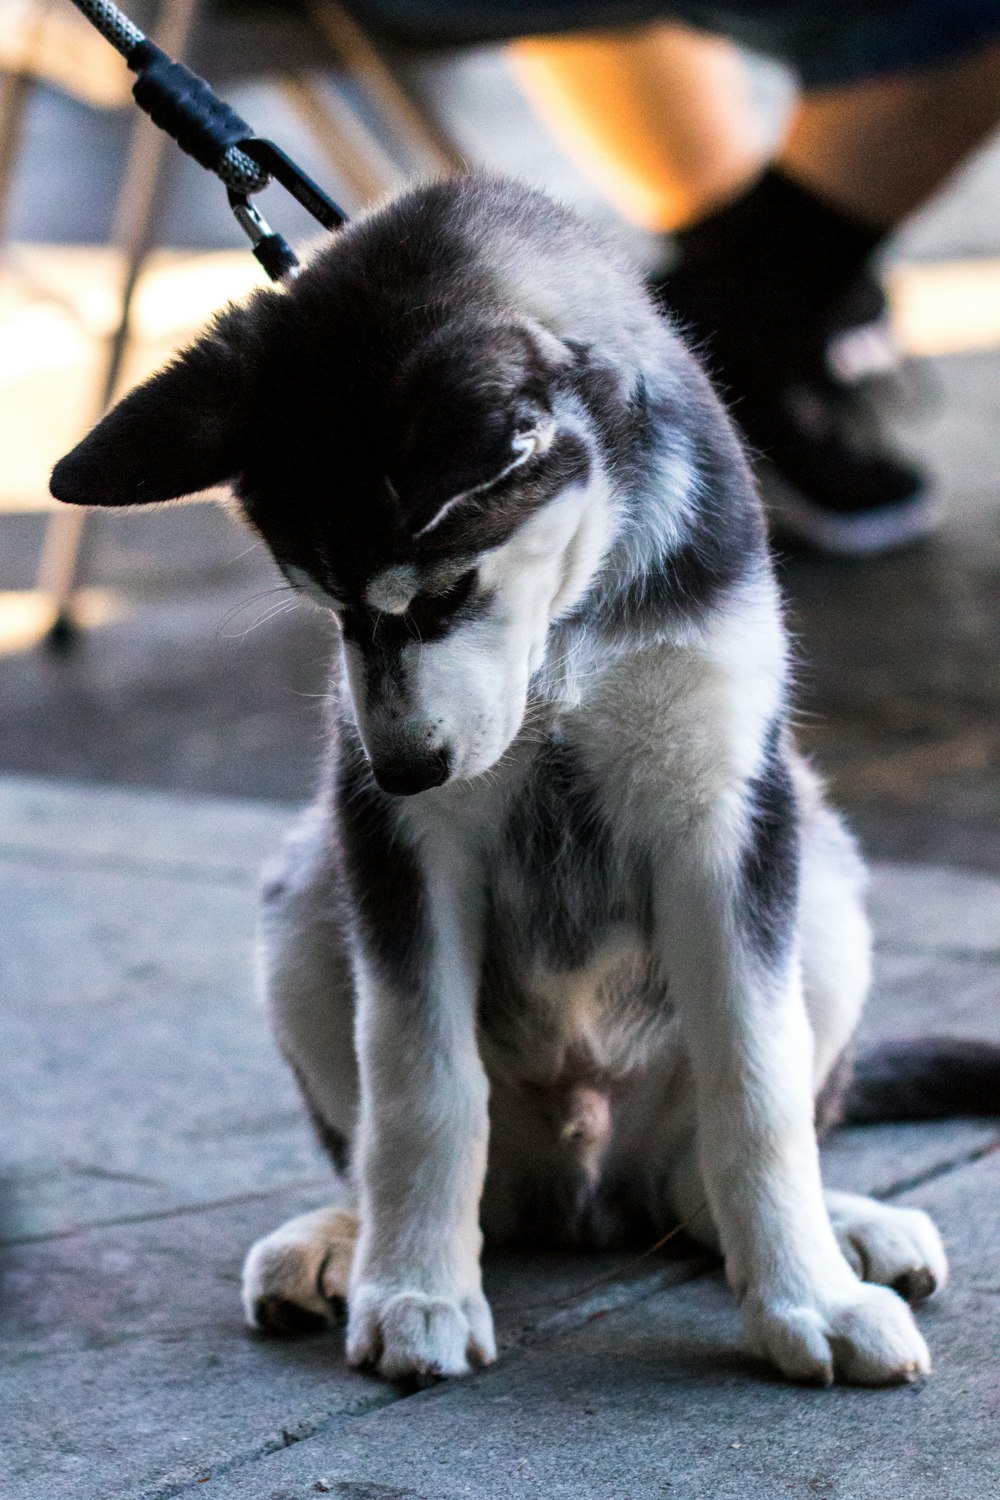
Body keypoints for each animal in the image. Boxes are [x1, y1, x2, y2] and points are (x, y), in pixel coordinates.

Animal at [52, 172, 953, 1380]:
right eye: (326, 607)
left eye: (442, 591)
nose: (403, 768)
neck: (564, 639)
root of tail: (582, 1185)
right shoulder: (401, 850)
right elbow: (416, 1079)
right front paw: (412, 1289)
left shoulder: (723, 799)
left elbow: (758, 1081)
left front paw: (807, 1300)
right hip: (305, 894)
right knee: (415, 1159)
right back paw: (343, 1241)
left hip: (826, 882)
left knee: (702, 1173)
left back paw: (841, 1228)